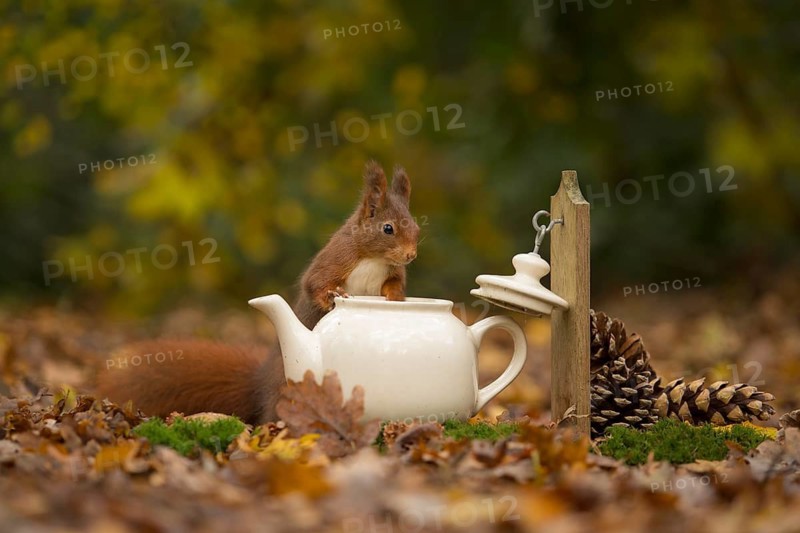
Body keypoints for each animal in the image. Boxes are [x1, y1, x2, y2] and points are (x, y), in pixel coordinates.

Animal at [95, 161, 420, 425]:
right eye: (388, 228)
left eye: (416, 227)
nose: (411, 255)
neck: (373, 257)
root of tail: (260, 388)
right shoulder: (337, 259)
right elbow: (314, 283)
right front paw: (330, 297)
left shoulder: (391, 272)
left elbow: (393, 285)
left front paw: (395, 299)